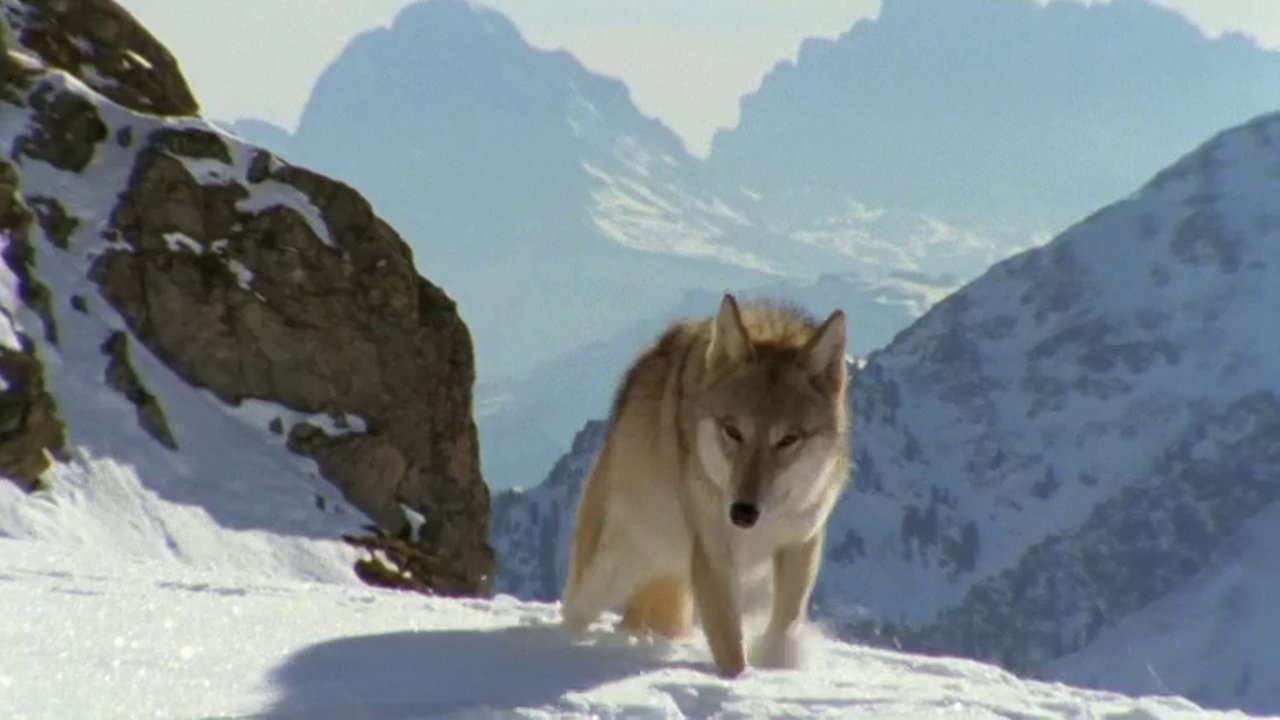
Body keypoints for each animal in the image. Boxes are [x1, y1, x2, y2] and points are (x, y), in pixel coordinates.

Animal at [560, 293, 850, 677]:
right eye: (733, 431)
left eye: (788, 440)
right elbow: (730, 646)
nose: (742, 513)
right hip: (602, 576)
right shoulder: (713, 555)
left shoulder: (800, 543)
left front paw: (776, 669)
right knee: (572, 611)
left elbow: (784, 627)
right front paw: (737, 682)